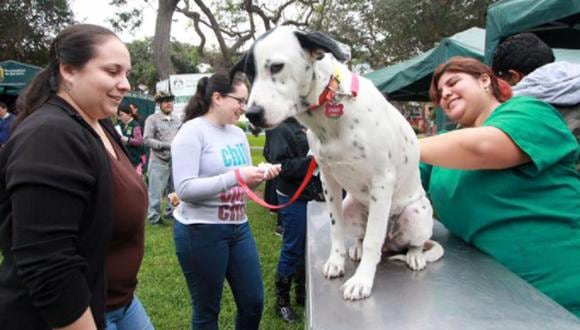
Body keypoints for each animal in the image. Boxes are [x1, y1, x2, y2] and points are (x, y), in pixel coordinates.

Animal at [231, 27, 444, 300]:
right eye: (249, 75)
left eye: (276, 67)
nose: (252, 115)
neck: (329, 115)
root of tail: (391, 243)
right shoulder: (328, 180)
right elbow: (336, 228)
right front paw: (337, 261)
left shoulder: (381, 181)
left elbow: (374, 239)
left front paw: (362, 280)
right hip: (351, 206)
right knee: (363, 236)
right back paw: (357, 248)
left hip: (416, 213)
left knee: (410, 243)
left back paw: (415, 256)